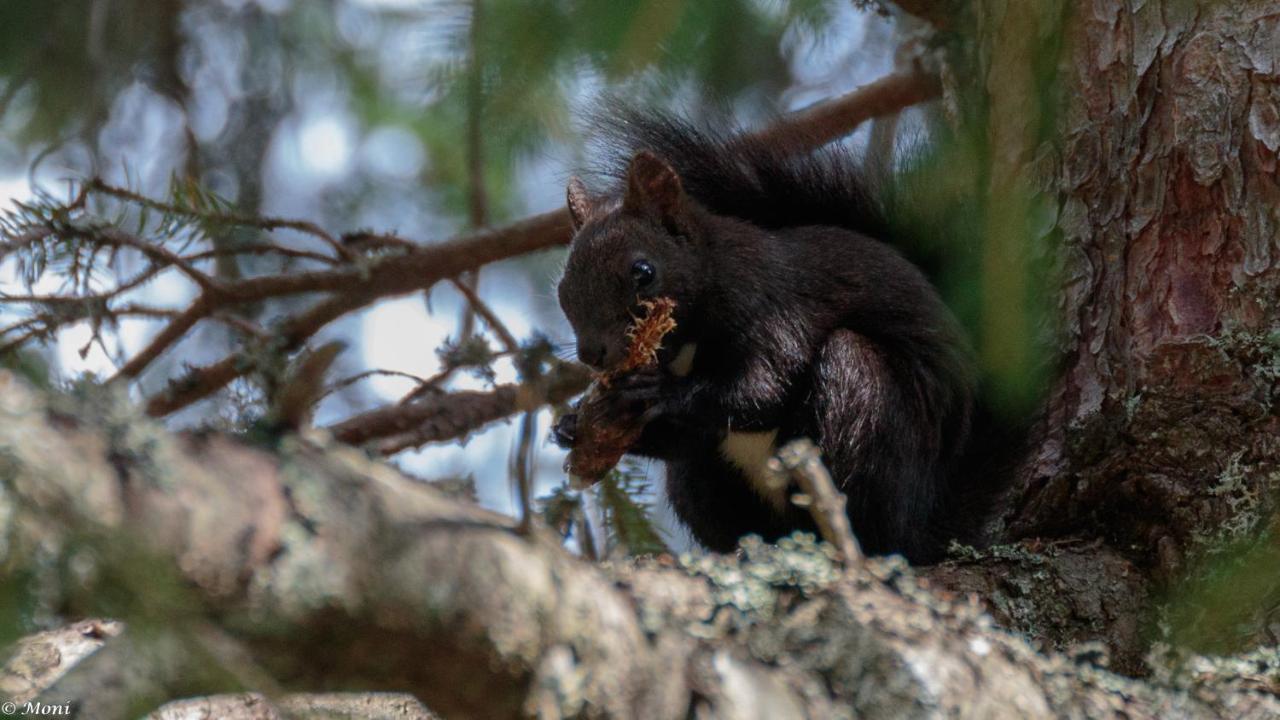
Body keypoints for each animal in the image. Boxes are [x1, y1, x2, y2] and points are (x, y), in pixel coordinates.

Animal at [550, 110, 1008, 561]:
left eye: (643, 272)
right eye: (563, 289)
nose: (592, 354)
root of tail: (928, 526)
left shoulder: (775, 308)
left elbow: (764, 388)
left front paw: (658, 390)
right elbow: (690, 435)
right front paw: (569, 424)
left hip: (863, 400)